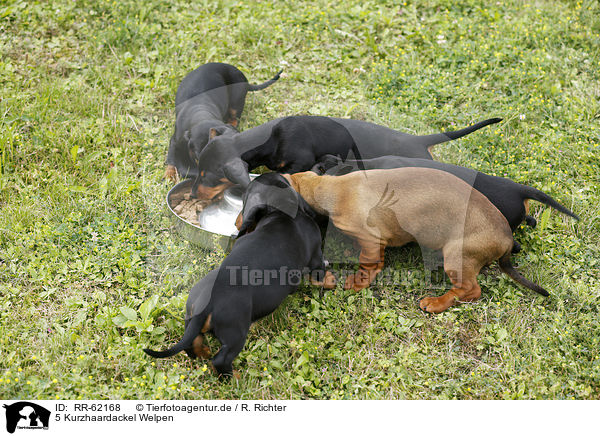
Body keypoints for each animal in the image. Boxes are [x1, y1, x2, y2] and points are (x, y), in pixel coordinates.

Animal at [144, 172, 336, 376]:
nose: (237, 223)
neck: (282, 214)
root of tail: (207, 303)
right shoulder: (315, 257)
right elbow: (320, 275)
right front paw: (332, 280)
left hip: (190, 317)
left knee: (192, 344)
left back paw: (204, 353)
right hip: (235, 331)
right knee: (221, 359)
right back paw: (233, 376)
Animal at [284, 169, 552, 316]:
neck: (333, 188)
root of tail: (506, 238)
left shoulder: (371, 239)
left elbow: (368, 264)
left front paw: (358, 282)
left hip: (455, 257)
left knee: (471, 290)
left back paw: (435, 303)